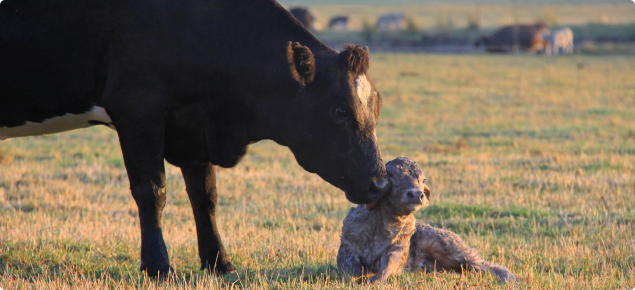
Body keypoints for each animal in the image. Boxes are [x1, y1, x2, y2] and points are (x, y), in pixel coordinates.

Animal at [0, 0, 390, 276]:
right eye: (340, 111)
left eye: (377, 106)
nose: (380, 184)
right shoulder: (136, 110)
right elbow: (152, 191)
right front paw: (158, 267)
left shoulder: (194, 129)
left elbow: (205, 196)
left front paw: (219, 262)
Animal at [338, 159, 516, 284]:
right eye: (393, 178)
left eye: (422, 180)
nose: (417, 194)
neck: (381, 226)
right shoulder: (347, 249)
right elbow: (350, 271)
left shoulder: (399, 248)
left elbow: (389, 264)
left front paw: (375, 279)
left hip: (453, 249)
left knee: (482, 265)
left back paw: (508, 277)